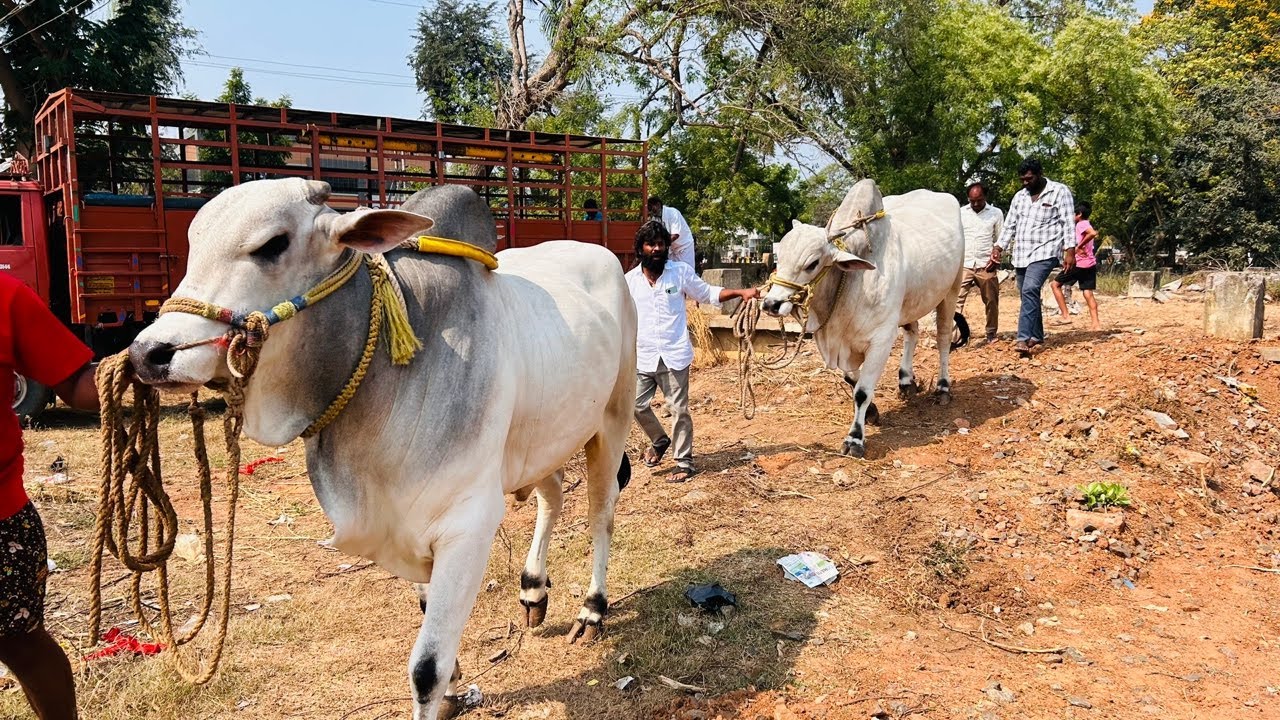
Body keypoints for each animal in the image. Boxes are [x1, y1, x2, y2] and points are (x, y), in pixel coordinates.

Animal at [127, 178, 637, 720]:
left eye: (272, 244)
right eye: (193, 244)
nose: (149, 353)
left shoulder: (467, 525)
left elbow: (426, 667)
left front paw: (443, 687)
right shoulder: (402, 521)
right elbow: (427, 612)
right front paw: (455, 687)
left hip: (613, 417)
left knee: (601, 511)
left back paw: (592, 608)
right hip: (542, 438)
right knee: (553, 496)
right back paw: (533, 589)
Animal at [762, 179, 968, 458]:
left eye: (812, 263)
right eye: (779, 257)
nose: (771, 304)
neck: (849, 284)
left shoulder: (881, 339)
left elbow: (861, 391)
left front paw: (855, 438)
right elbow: (851, 378)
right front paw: (872, 411)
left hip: (951, 289)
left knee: (944, 339)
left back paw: (943, 387)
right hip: (909, 301)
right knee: (912, 333)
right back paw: (906, 380)